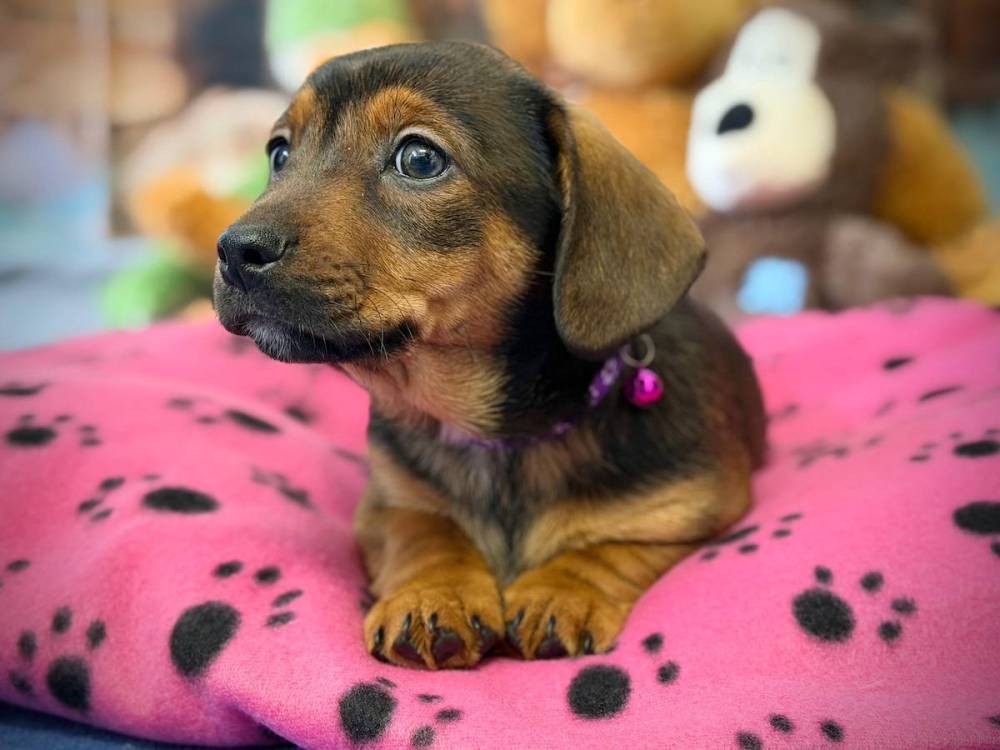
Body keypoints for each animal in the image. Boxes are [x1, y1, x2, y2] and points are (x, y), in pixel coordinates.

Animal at [214, 41, 765, 670]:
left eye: (419, 159)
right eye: (279, 153)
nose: (234, 250)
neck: (497, 439)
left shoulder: (698, 507)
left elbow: (609, 544)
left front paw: (562, 589)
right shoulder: (388, 502)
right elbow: (424, 531)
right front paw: (434, 593)